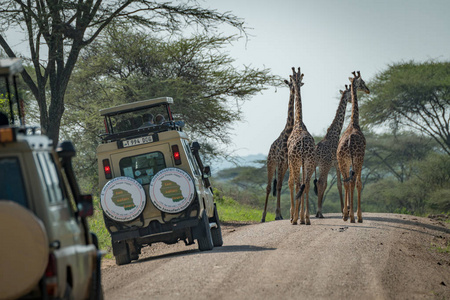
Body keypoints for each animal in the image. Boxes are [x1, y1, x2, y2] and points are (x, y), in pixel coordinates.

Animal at [312, 84, 352, 218]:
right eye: (350, 94)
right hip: (324, 165)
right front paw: (344, 209)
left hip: (315, 166)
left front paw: (344, 209)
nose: (352, 100)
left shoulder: (334, 165)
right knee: (320, 183)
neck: (334, 134)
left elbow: (337, 184)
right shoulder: (336, 164)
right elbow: (339, 184)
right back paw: (319, 212)